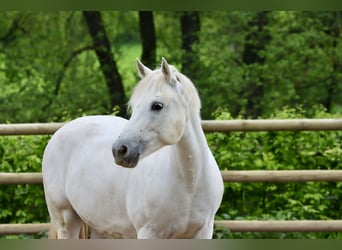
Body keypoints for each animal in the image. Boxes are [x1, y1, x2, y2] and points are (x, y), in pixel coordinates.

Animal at [42, 58, 224, 238]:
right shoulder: (148, 233)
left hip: (99, 226)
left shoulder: (204, 232)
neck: (190, 184)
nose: (120, 150)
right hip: (67, 221)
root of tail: (59, 133)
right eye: (134, 106)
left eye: (157, 105)